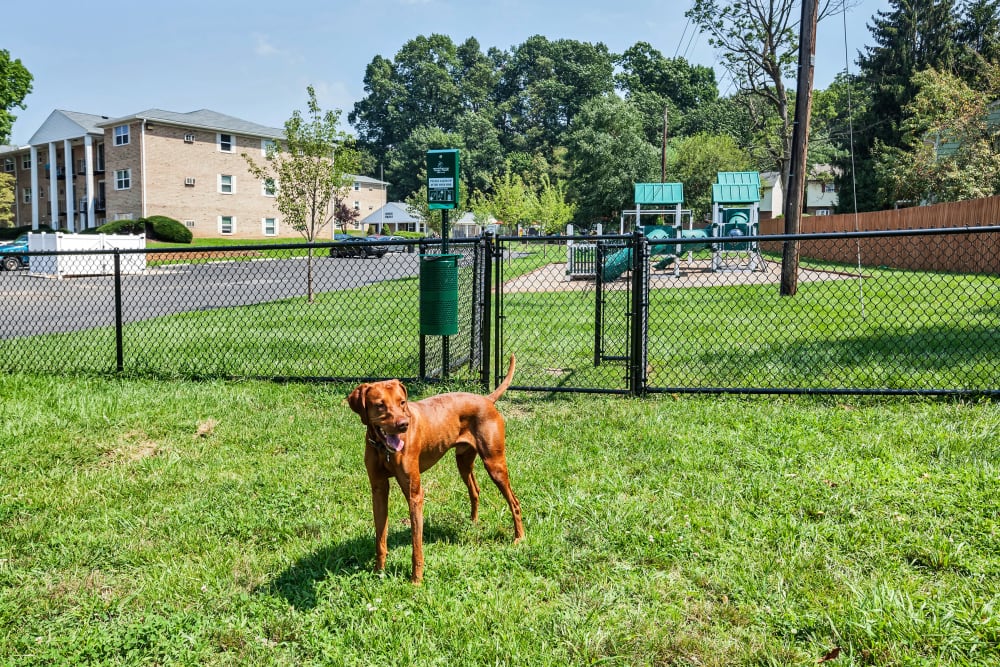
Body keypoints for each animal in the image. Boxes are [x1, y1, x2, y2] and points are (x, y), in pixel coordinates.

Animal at [348, 358, 524, 580]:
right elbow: (380, 538)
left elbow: (416, 543)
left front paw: (416, 580)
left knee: (514, 502)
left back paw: (519, 538)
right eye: (380, 405)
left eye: (402, 402)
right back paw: (473, 523)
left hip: (495, 464)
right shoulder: (378, 490)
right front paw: (378, 572)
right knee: (475, 490)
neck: (383, 448)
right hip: (463, 462)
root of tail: (486, 399)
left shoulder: (414, 494)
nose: (404, 424)